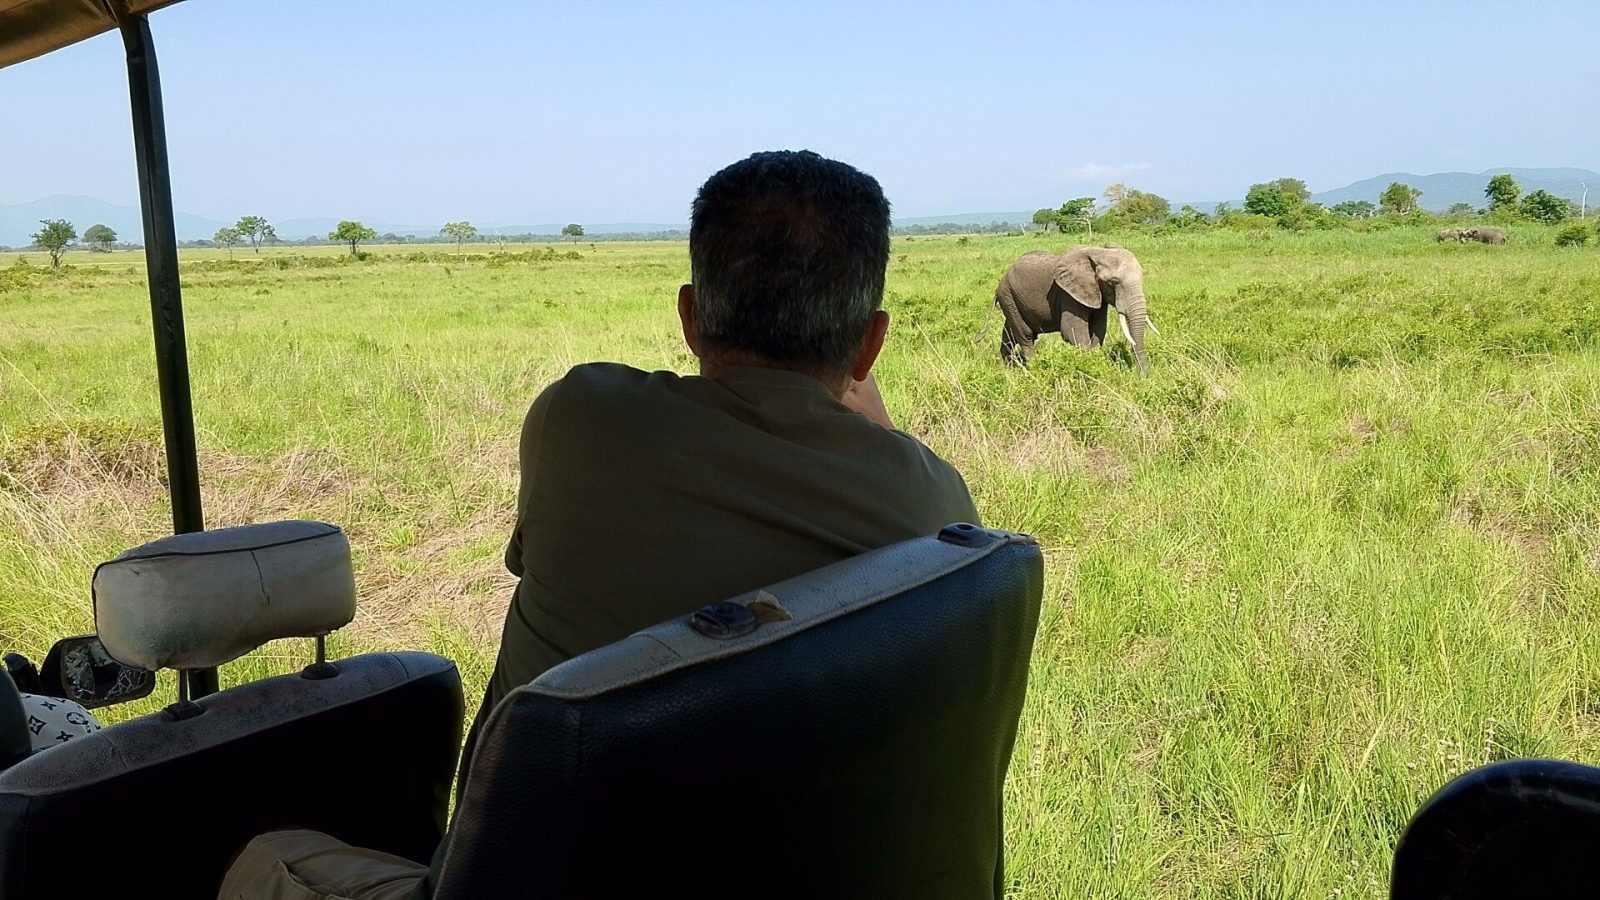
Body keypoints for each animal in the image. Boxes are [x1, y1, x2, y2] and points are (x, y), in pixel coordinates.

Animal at [993, 244, 1157, 373]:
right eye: (1113, 282)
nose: (1144, 375)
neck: (1098, 252)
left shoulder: (1097, 294)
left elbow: (1099, 329)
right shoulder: (1068, 294)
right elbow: (1073, 330)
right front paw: (1090, 367)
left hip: (1011, 300)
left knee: (1010, 333)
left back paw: (1008, 368)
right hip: (1008, 296)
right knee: (1026, 336)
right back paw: (1033, 369)